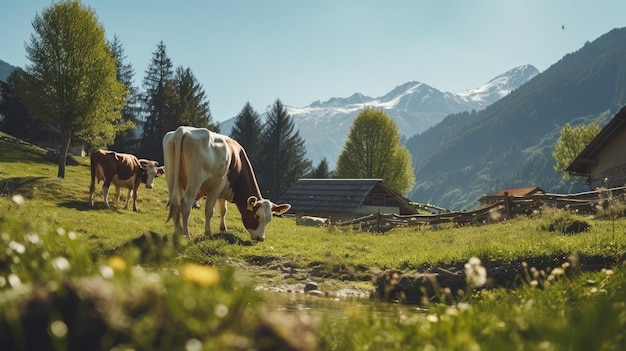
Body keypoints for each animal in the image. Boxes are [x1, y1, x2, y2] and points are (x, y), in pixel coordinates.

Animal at [160, 126, 288, 242]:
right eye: (256, 216)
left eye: (269, 220)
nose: (260, 238)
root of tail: (182, 130)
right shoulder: (216, 187)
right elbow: (210, 211)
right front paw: (208, 233)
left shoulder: (223, 190)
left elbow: (224, 210)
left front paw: (223, 228)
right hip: (195, 180)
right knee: (186, 203)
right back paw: (186, 235)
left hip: (171, 176)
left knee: (175, 204)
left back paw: (178, 231)